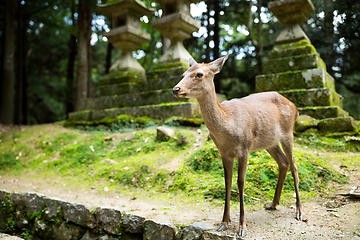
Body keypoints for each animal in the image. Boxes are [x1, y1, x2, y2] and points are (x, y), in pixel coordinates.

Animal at [173, 55, 302, 237]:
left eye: (199, 74)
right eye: (184, 73)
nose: (175, 89)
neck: (228, 125)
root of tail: (295, 106)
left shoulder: (244, 148)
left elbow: (240, 182)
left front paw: (242, 227)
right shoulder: (224, 152)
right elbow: (227, 182)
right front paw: (224, 223)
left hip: (288, 133)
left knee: (294, 165)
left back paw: (299, 211)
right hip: (270, 142)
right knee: (283, 163)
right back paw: (272, 204)